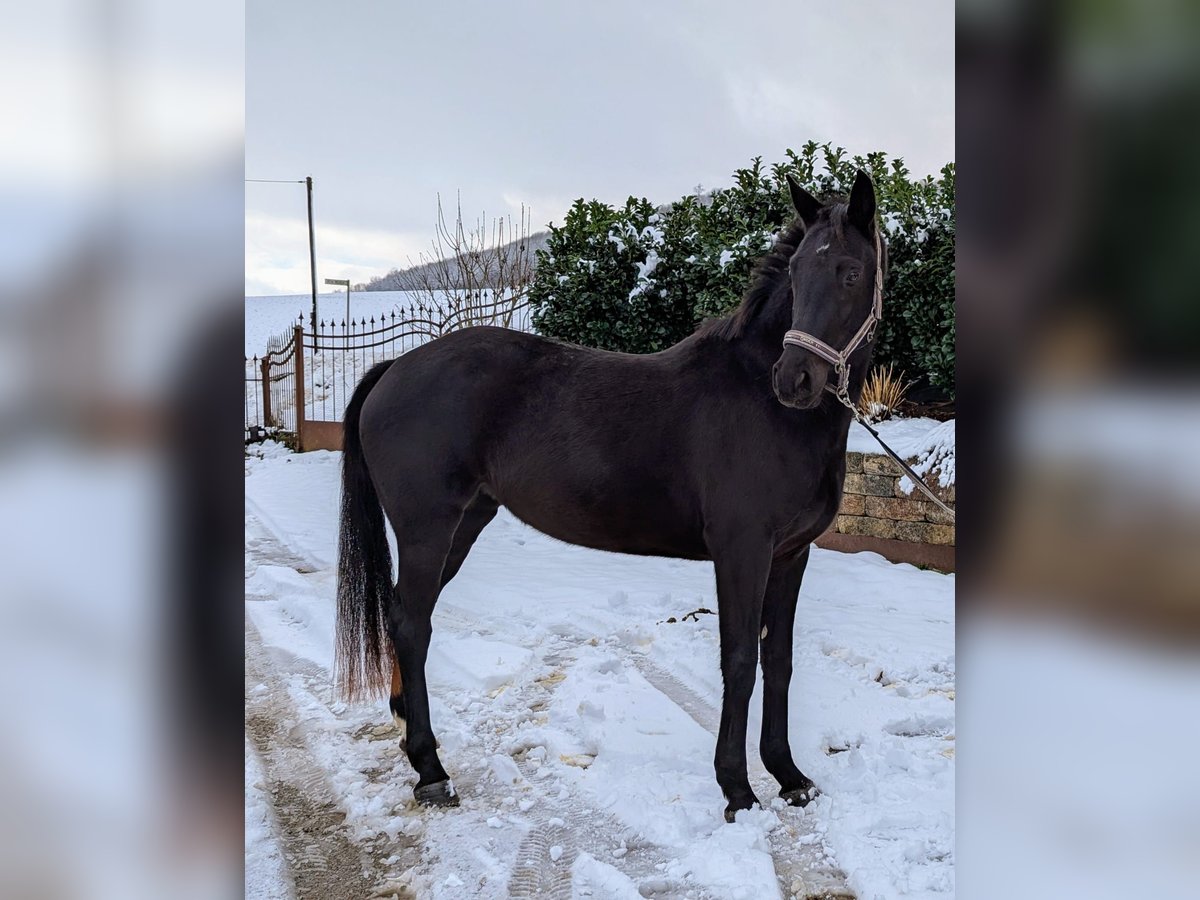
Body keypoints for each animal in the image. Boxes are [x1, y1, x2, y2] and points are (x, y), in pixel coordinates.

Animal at [336, 169, 883, 825]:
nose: (795, 380)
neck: (764, 404)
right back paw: (430, 770)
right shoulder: (742, 551)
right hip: (428, 529)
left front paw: (789, 775)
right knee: (412, 623)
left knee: (404, 617)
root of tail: (392, 369)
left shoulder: (790, 555)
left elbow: (779, 662)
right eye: (799, 273)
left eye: (849, 272)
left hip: (464, 524)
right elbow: (739, 662)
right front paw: (737, 789)